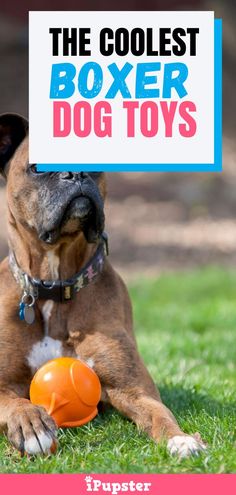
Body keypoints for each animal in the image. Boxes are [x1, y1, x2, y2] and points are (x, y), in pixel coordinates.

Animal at [0, 112, 206, 458]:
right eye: (38, 167)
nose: (76, 172)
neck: (55, 287)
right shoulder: (3, 384)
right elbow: (15, 403)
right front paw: (31, 424)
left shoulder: (133, 388)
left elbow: (159, 414)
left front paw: (182, 439)